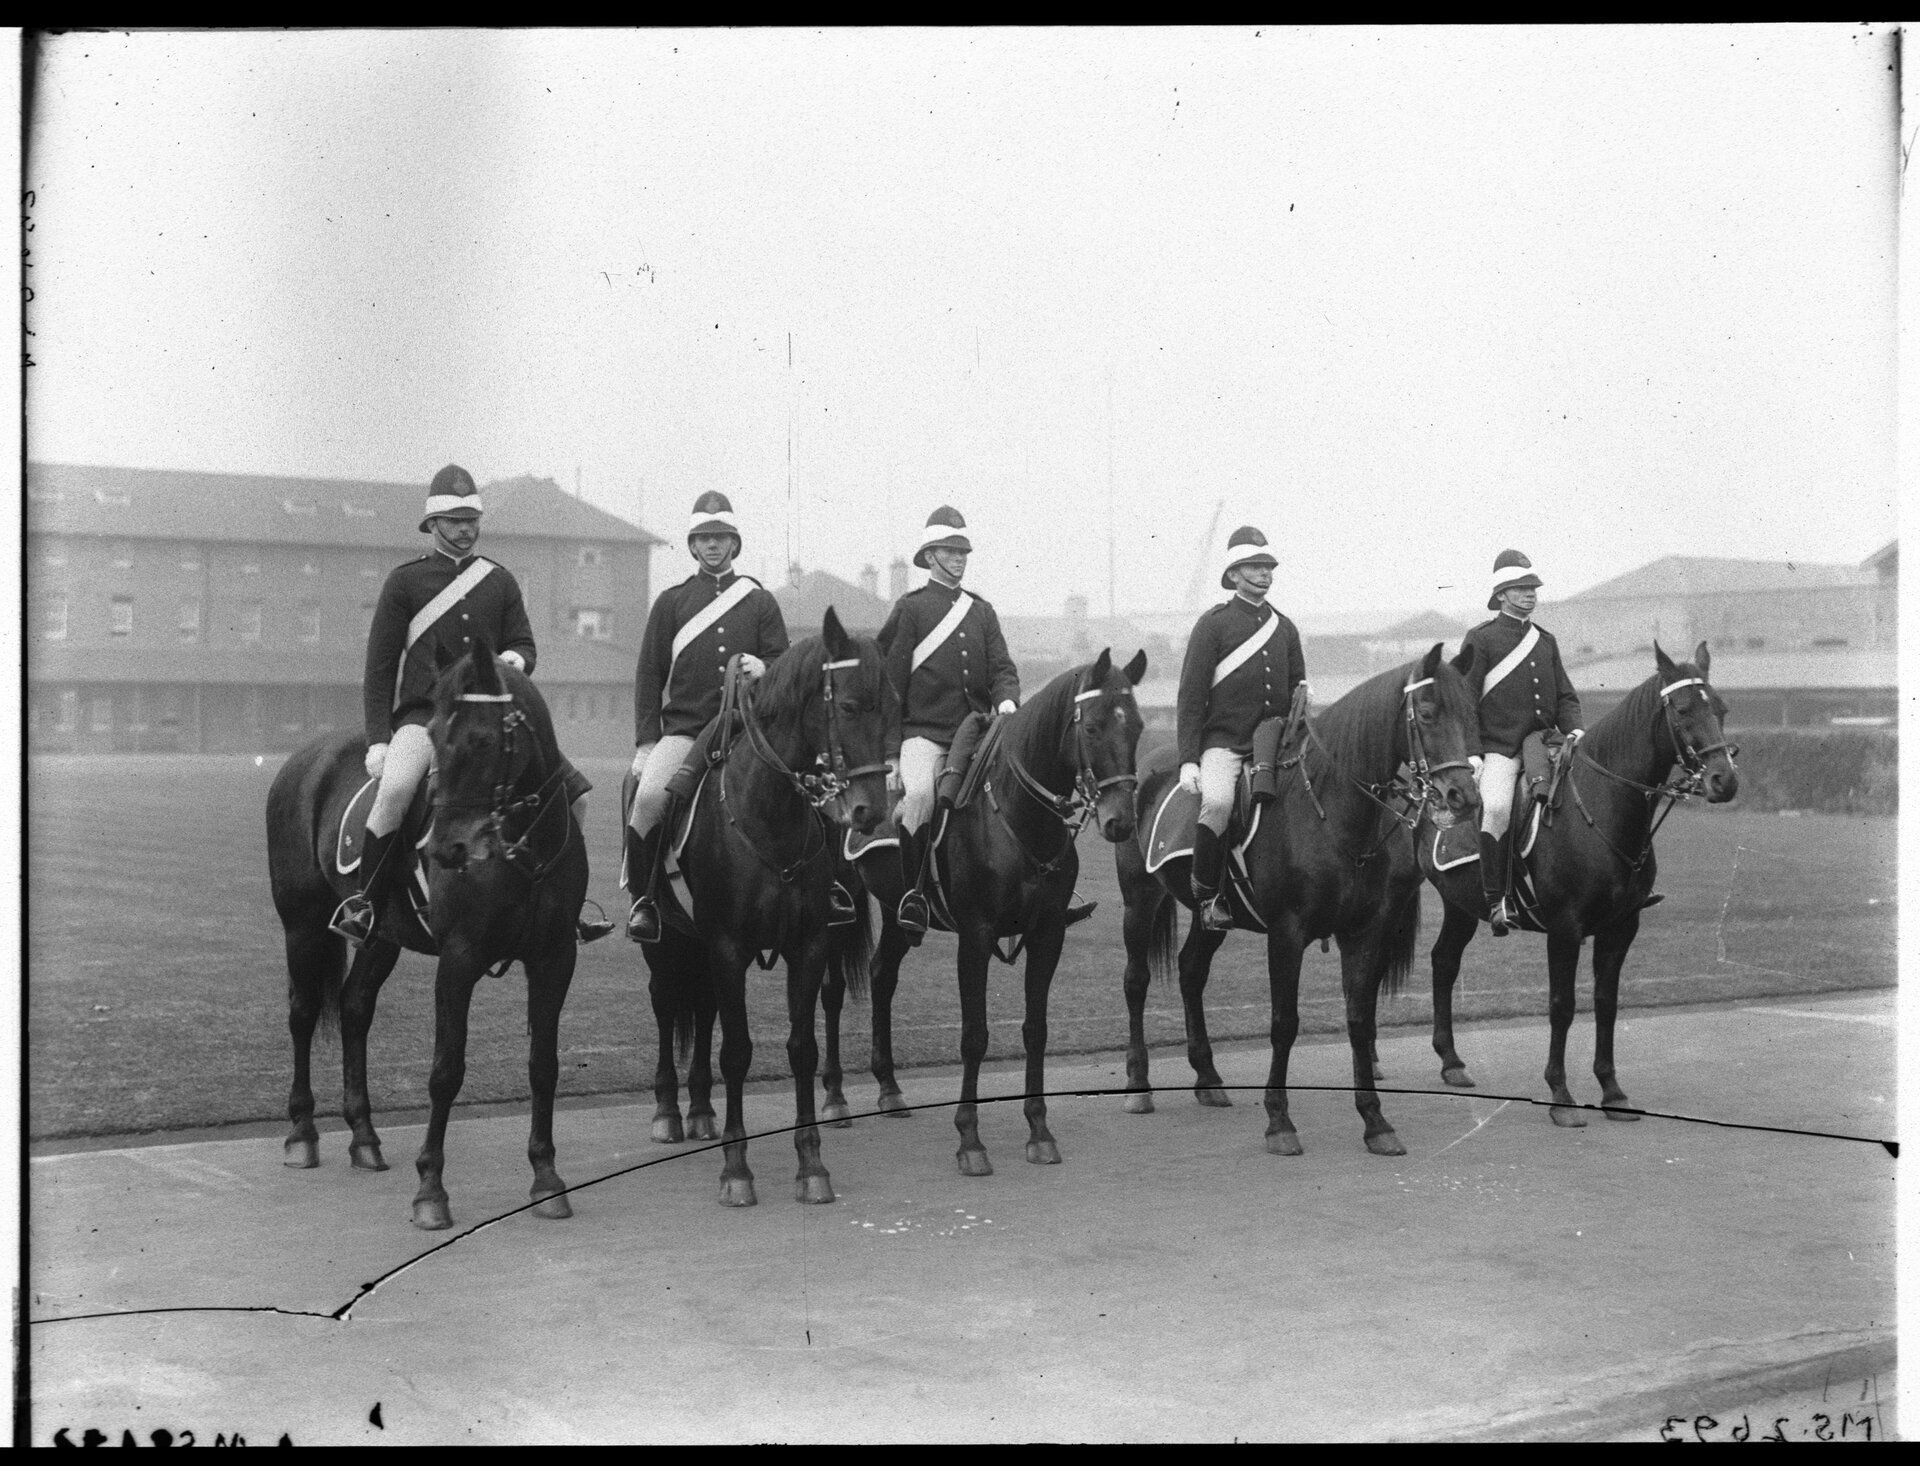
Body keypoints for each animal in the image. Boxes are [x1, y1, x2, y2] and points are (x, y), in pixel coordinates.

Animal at [266, 637, 587, 1228]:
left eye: (484, 739)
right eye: (435, 740)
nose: (445, 849)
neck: (518, 849)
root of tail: (305, 758)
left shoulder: (554, 958)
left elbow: (544, 1066)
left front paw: (546, 1177)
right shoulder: (458, 961)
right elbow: (445, 1071)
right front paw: (431, 1191)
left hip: (381, 938)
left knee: (354, 1009)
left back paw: (364, 1138)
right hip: (301, 926)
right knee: (302, 1013)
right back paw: (302, 1134)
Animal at [637, 614, 890, 1205]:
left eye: (889, 704)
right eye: (848, 707)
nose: (870, 810)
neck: (767, 813)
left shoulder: (808, 946)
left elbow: (802, 1047)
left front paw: (812, 1164)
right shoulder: (728, 946)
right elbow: (736, 1051)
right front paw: (736, 1169)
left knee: (703, 1008)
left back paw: (700, 1111)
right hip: (667, 942)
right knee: (667, 1002)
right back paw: (669, 1111)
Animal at [833, 648, 1144, 1174]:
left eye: (1138, 726)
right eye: (1092, 726)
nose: (1120, 821)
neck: (1016, 816)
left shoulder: (1047, 934)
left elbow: (1036, 1030)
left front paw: (1039, 1131)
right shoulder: (975, 937)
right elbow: (974, 1037)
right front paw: (970, 1140)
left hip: (896, 916)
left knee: (881, 974)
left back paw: (889, 1089)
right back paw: (833, 1099)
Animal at [1113, 648, 1482, 1151]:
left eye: (1470, 714)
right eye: (1426, 714)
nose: (1463, 796)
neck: (1331, 811)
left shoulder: (1363, 932)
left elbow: (1359, 1018)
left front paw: (1375, 1121)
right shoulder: (1287, 934)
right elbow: (1284, 1022)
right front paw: (1279, 1121)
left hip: (1210, 917)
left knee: (1191, 971)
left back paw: (1207, 1077)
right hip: (1139, 898)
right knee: (1136, 980)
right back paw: (1138, 1084)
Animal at [1413, 640, 1743, 1120]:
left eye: (1720, 708)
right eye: (1682, 710)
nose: (1724, 780)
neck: (1601, 806)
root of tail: (1427, 794)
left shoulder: (1621, 927)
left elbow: (1606, 1002)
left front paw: (1612, 1090)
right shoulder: (1564, 929)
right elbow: (1562, 1006)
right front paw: (1560, 1095)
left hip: (1461, 906)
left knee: (1443, 961)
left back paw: (1451, 1062)